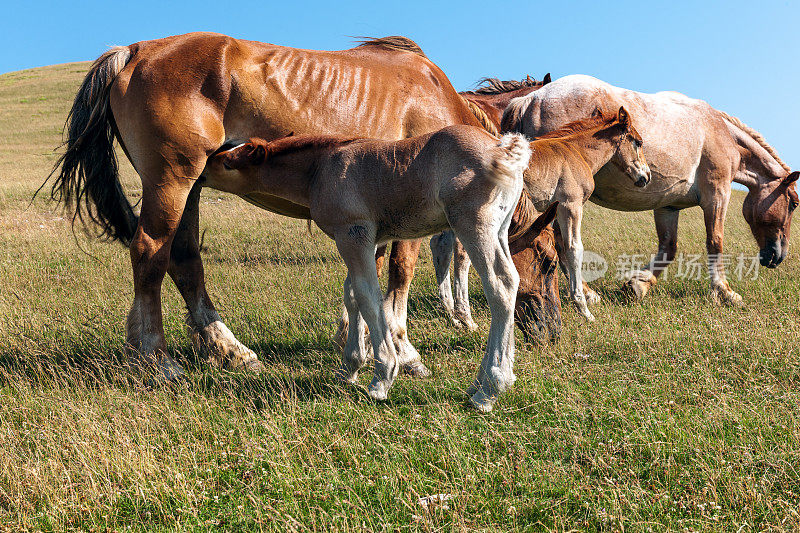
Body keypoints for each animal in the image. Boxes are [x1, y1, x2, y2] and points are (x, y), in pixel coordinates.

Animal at [203, 127, 552, 410]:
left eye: (227, 162)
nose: (202, 168)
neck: (320, 169)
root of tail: (503, 150)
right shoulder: (369, 240)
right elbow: (351, 294)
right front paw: (349, 367)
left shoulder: (352, 233)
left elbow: (368, 295)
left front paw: (382, 376)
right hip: (499, 230)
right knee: (512, 282)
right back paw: (483, 381)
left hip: (473, 225)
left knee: (500, 286)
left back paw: (489, 388)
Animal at [432, 107, 648, 324]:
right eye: (638, 142)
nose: (646, 177)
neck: (576, 151)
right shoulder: (570, 205)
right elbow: (573, 249)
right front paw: (583, 309)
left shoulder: (551, 212)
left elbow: (559, 246)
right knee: (462, 254)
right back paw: (466, 318)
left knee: (441, 246)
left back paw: (452, 314)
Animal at [504, 74, 796, 304]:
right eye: (793, 203)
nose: (777, 256)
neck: (720, 131)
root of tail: (530, 99)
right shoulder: (717, 194)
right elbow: (715, 241)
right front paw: (724, 292)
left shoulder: (668, 206)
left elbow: (668, 248)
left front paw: (638, 284)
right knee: (562, 244)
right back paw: (585, 293)